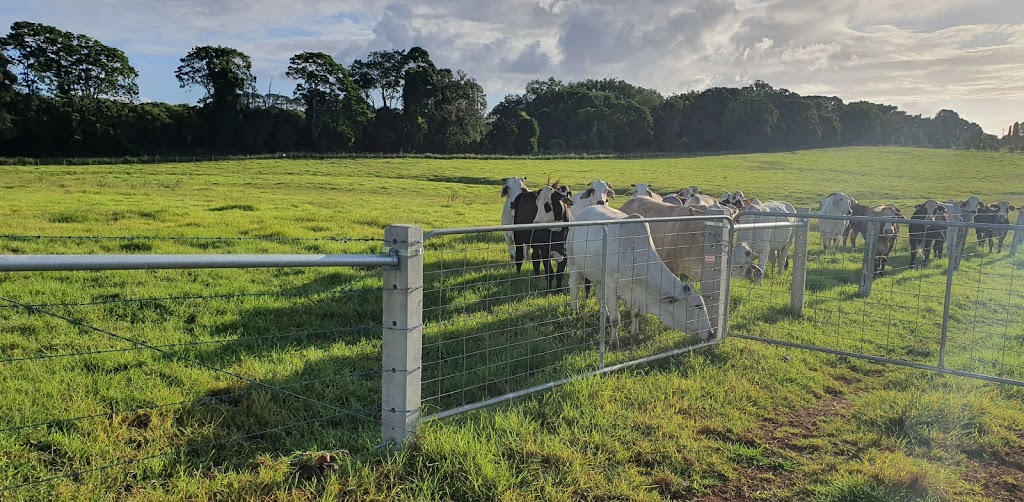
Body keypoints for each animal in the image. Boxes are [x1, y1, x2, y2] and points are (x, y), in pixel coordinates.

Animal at [565, 205, 716, 346]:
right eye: (698, 306)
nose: (711, 333)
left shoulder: (634, 291)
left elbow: (635, 313)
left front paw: (635, 334)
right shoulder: (611, 285)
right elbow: (615, 320)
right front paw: (614, 342)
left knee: (598, 294)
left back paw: (605, 315)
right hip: (573, 262)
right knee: (574, 287)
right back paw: (576, 312)